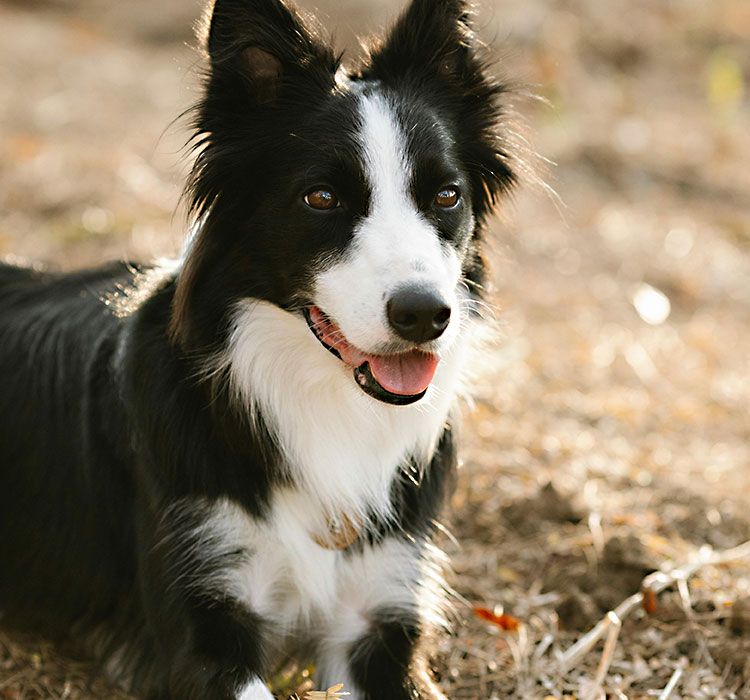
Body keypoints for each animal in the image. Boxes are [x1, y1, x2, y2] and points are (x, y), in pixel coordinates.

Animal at [0, 1, 516, 700]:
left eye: (446, 195)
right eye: (321, 197)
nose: (424, 316)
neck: (321, 397)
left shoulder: (381, 615)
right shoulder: (204, 623)